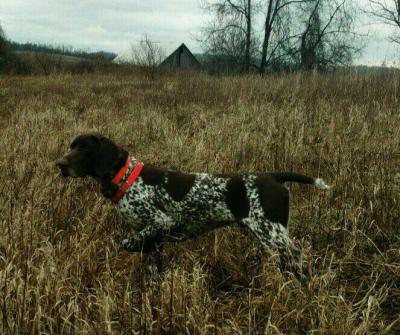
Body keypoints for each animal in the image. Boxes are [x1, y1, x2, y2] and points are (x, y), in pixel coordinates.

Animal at [57, 133, 332, 276]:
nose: (59, 164)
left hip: (274, 235)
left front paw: (131, 246)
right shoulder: (156, 240)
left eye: (84, 149)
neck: (126, 178)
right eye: (71, 146)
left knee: (298, 260)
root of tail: (274, 177)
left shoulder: (161, 222)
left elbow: (128, 242)